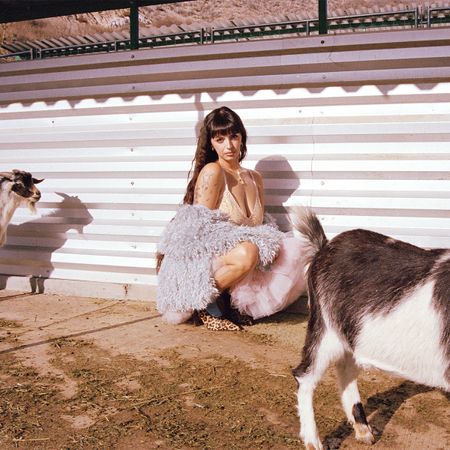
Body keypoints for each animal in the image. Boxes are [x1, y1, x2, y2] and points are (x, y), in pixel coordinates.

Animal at [290, 207, 448, 450]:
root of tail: (325, 245)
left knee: (345, 369)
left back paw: (363, 430)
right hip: (324, 326)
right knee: (305, 376)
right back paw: (313, 442)